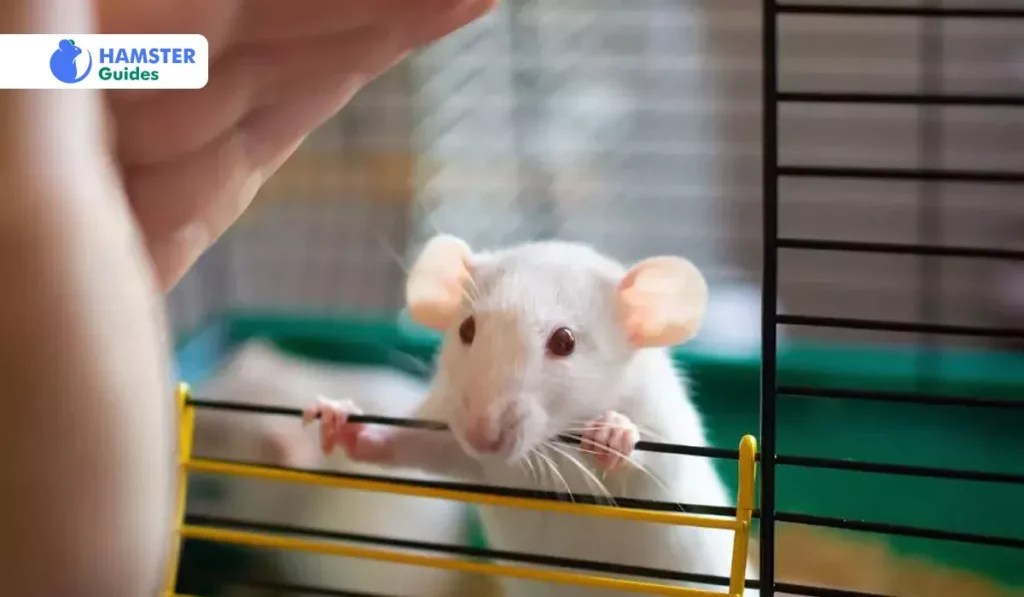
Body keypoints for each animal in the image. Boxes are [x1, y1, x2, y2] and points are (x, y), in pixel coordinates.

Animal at [305, 235, 757, 597]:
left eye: (565, 341)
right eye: (466, 329)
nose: (482, 434)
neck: (543, 454)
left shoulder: (661, 416)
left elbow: (658, 460)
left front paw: (614, 433)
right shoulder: (459, 434)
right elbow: (421, 443)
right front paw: (344, 422)